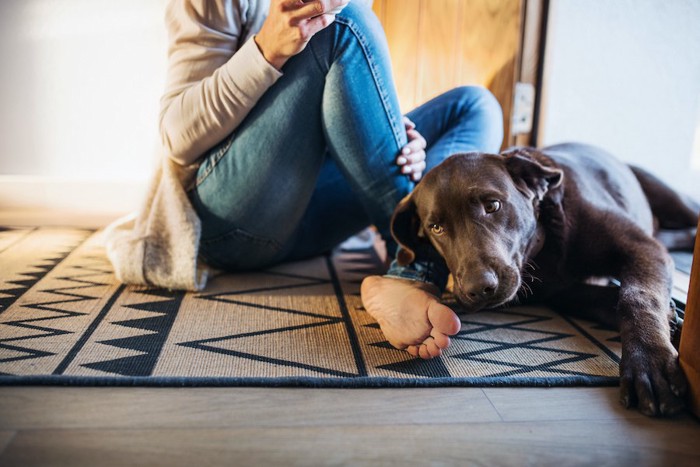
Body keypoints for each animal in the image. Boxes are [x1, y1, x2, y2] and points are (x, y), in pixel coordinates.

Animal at [394, 142, 700, 416]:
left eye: (492, 205)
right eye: (436, 228)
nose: (478, 288)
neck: (548, 234)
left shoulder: (642, 247)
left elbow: (636, 297)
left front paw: (648, 360)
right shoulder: (560, 291)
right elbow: (604, 299)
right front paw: (672, 320)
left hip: (672, 200)